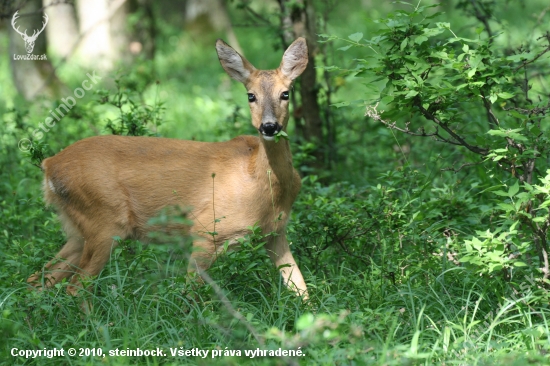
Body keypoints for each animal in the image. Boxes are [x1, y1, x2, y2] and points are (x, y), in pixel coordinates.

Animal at [28, 38, 310, 300]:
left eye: (285, 93)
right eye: (251, 95)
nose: (269, 126)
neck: (262, 185)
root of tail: (49, 165)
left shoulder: (276, 232)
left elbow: (301, 288)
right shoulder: (206, 231)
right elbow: (189, 292)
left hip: (77, 228)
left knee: (39, 278)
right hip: (104, 221)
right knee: (76, 287)